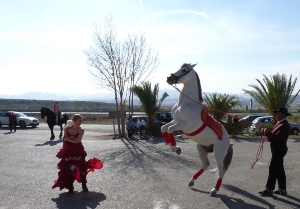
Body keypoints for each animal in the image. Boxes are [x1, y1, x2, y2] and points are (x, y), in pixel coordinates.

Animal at [161, 62, 233, 197]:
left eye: (185, 70)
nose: (169, 78)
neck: (186, 103)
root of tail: (229, 142)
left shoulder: (184, 125)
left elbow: (170, 130)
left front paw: (176, 149)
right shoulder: (176, 121)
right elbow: (164, 128)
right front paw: (172, 146)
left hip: (218, 152)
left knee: (221, 170)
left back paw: (214, 190)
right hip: (201, 148)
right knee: (206, 165)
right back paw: (191, 181)